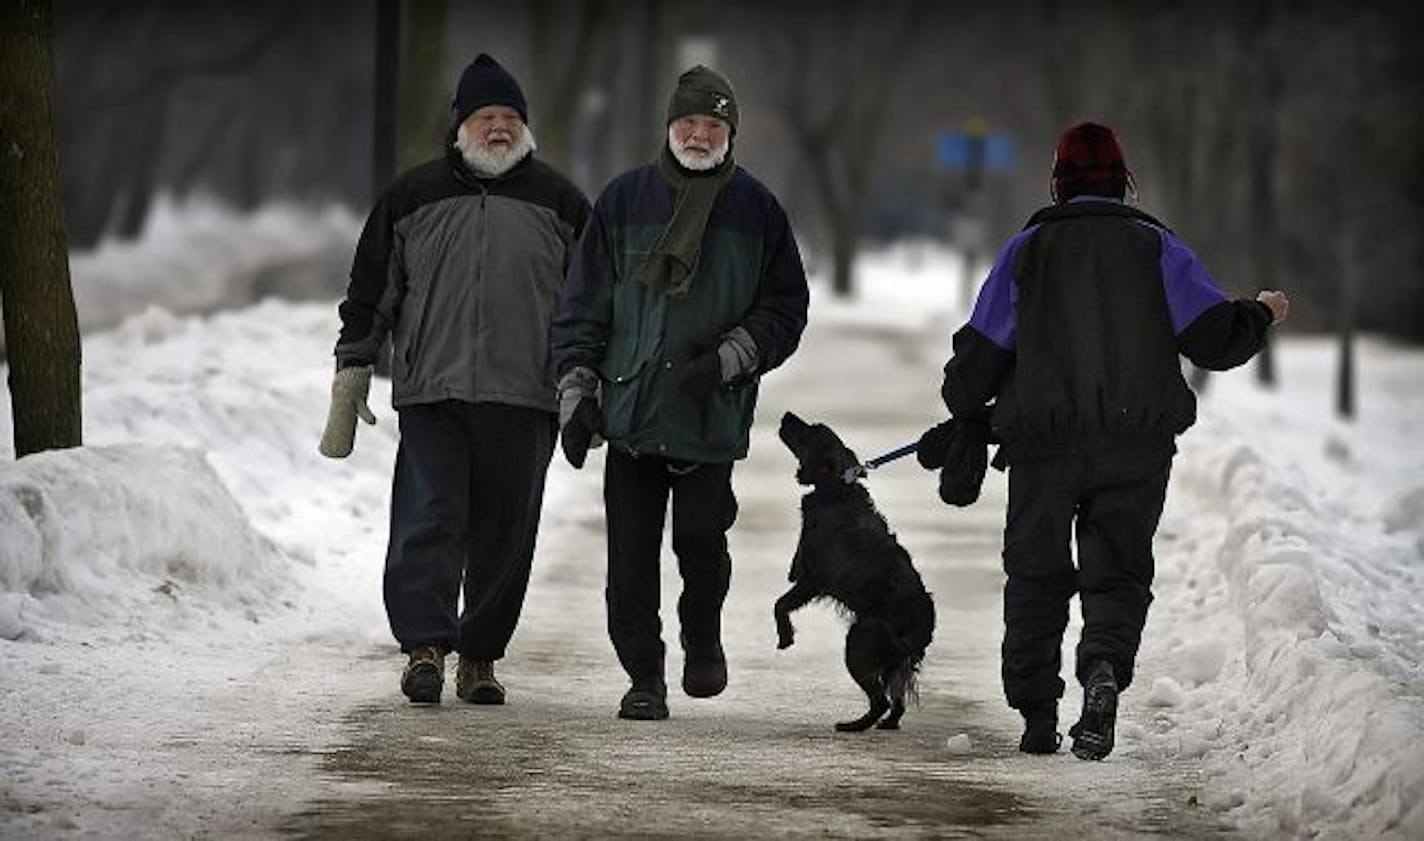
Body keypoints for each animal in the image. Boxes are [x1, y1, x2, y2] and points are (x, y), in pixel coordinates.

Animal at [774, 412, 939, 728]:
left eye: (808, 432)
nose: (787, 415)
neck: (837, 488)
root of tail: (921, 630)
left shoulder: (813, 579)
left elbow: (780, 604)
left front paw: (785, 637)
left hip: (859, 642)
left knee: (880, 699)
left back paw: (854, 726)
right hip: (890, 659)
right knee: (896, 698)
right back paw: (887, 723)